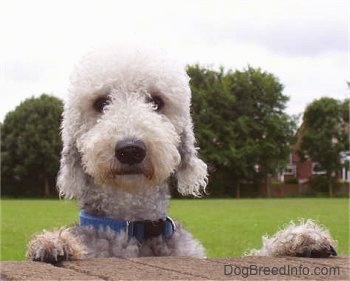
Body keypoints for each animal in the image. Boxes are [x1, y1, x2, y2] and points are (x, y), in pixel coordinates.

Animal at [26, 42, 336, 262]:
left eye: (156, 101)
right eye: (101, 103)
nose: (130, 150)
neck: (133, 227)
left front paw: (302, 239)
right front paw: (55, 242)